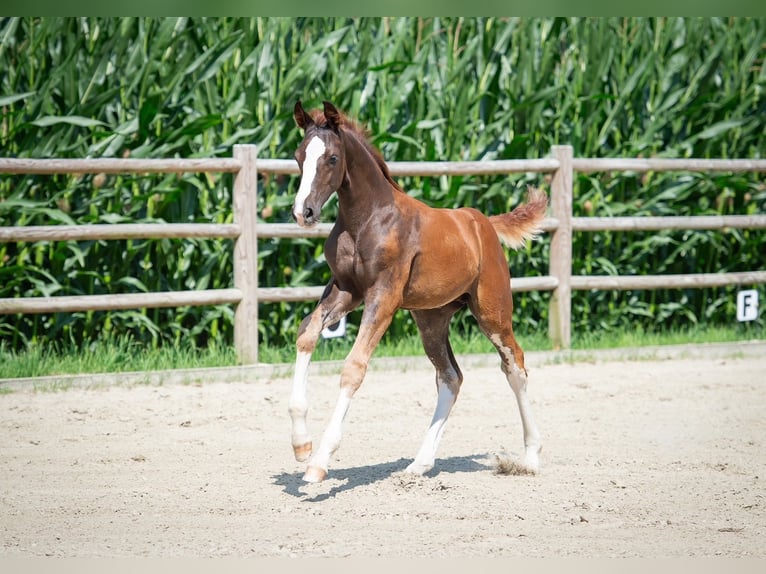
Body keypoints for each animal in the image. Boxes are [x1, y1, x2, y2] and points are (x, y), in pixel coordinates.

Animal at [288, 101, 544, 484]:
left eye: (332, 158)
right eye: (299, 156)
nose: (303, 212)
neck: (367, 219)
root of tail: (483, 222)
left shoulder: (384, 295)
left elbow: (353, 367)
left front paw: (319, 462)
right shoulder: (347, 290)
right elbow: (306, 333)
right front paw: (302, 445)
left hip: (493, 313)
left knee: (514, 366)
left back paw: (529, 457)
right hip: (431, 319)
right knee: (451, 377)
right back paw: (419, 464)